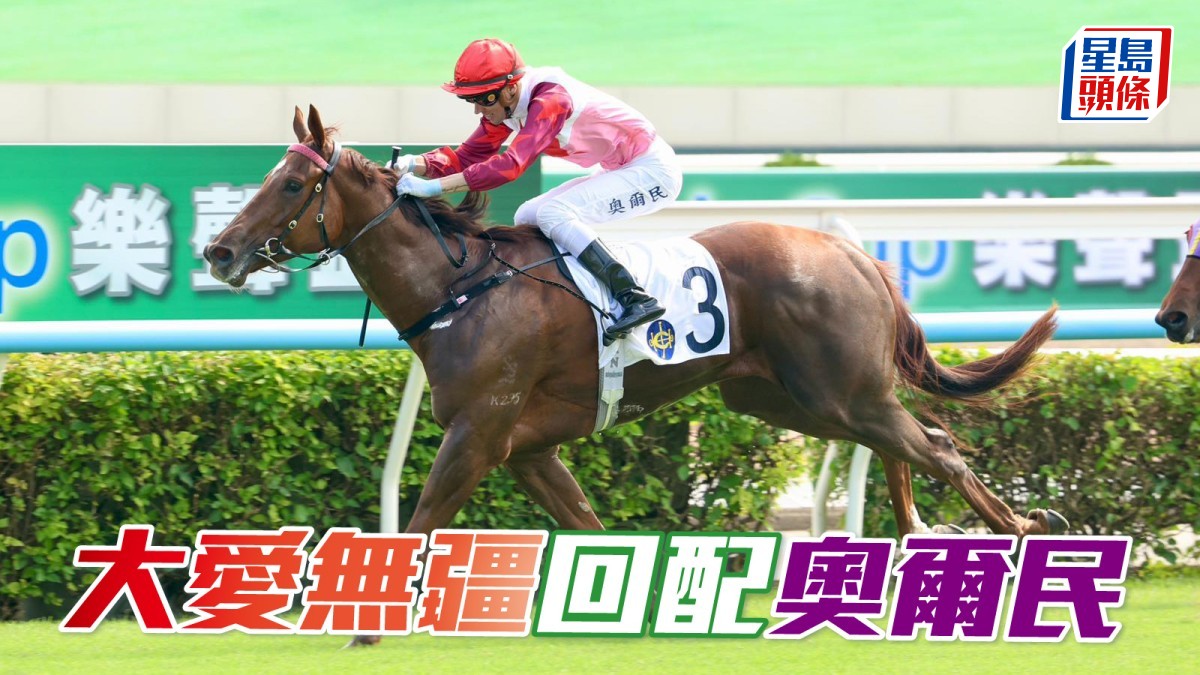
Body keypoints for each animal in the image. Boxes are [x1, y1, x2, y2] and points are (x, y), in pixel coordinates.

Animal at [206, 105, 1069, 546]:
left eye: (291, 184)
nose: (219, 249)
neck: (461, 287)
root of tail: (854, 253)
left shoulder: (480, 431)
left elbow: (421, 518)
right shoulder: (528, 447)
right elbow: (583, 521)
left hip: (836, 390)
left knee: (935, 446)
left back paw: (1027, 524)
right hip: (785, 396)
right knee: (916, 440)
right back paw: (924, 530)